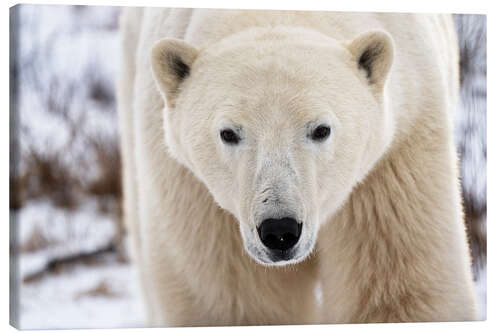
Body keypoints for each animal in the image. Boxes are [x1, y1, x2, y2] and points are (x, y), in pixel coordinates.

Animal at [116, 7, 476, 324]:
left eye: (321, 129)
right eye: (228, 133)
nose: (279, 231)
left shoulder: (397, 156)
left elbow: (402, 292)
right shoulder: (195, 194)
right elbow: (235, 300)